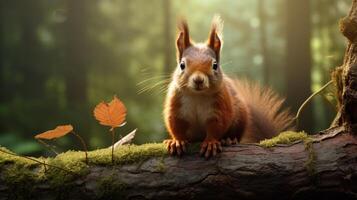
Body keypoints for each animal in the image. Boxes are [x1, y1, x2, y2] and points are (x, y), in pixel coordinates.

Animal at [163, 15, 294, 159]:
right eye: (182, 65)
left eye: (215, 65)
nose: (198, 80)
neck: (198, 95)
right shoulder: (176, 104)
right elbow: (175, 124)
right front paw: (177, 141)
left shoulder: (220, 105)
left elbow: (217, 126)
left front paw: (211, 143)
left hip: (241, 115)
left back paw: (229, 140)